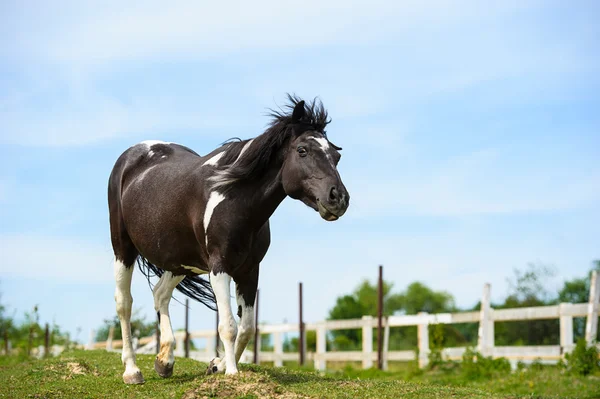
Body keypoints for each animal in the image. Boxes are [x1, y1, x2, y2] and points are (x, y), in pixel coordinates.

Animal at [109, 95, 352, 386]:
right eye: (302, 150)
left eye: (336, 156)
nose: (338, 198)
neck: (235, 197)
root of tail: (133, 154)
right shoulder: (220, 267)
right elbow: (227, 325)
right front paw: (232, 373)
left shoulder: (249, 271)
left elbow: (247, 328)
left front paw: (217, 365)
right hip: (123, 248)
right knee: (124, 303)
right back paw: (132, 370)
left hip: (180, 261)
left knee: (160, 294)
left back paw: (164, 361)